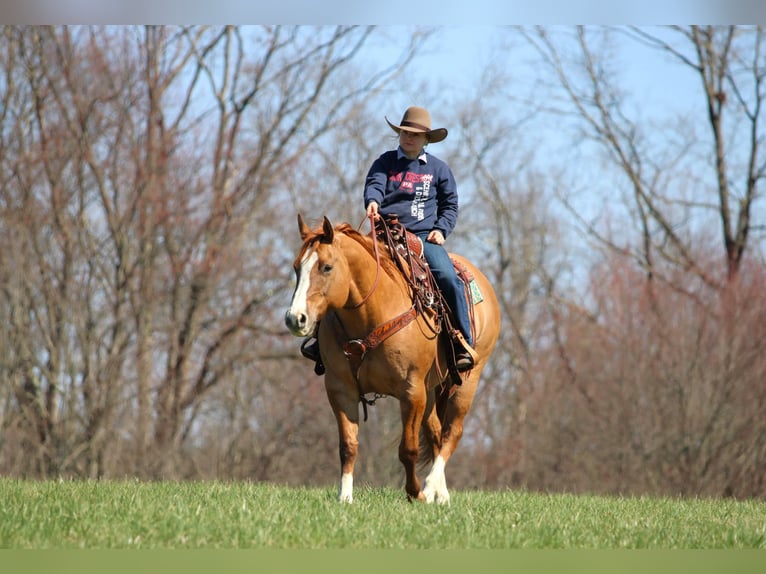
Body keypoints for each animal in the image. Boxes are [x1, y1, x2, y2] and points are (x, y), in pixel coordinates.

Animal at [284, 214, 500, 503]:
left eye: (327, 267)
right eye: (297, 267)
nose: (295, 318)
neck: (370, 315)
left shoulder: (411, 391)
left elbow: (407, 449)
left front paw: (416, 493)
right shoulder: (341, 389)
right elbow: (348, 446)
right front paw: (345, 497)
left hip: (468, 380)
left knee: (452, 432)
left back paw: (430, 486)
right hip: (431, 389)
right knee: (435, 433)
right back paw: (441, 495)